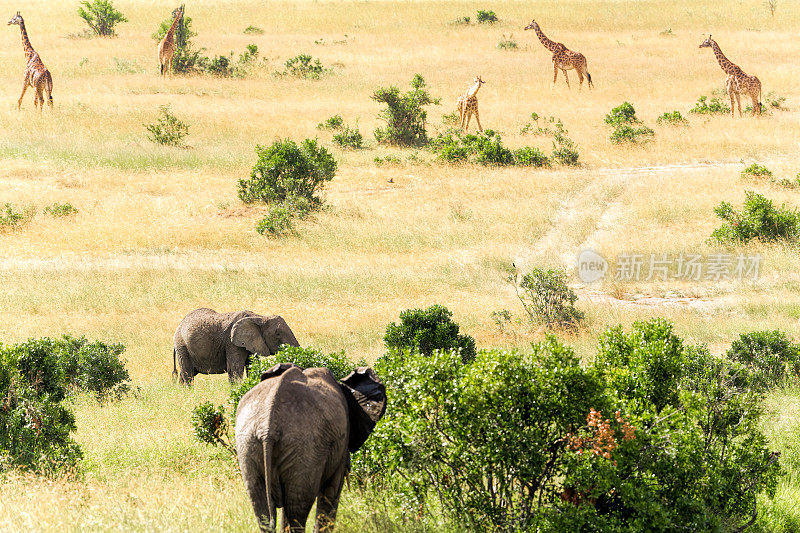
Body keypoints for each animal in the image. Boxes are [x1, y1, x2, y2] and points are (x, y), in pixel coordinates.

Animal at [172, 308, 300, 386]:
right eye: (277, 334)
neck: (259, 317)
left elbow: (253, 367)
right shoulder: (232, 343)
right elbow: (235, 369)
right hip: (182, 346)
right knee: (188, 374)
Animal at [234, 364, 388, 528]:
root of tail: (268, 428)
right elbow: (331, 492)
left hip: (247, 444)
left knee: (262, 508)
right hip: (306, 449)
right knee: (297, 508)